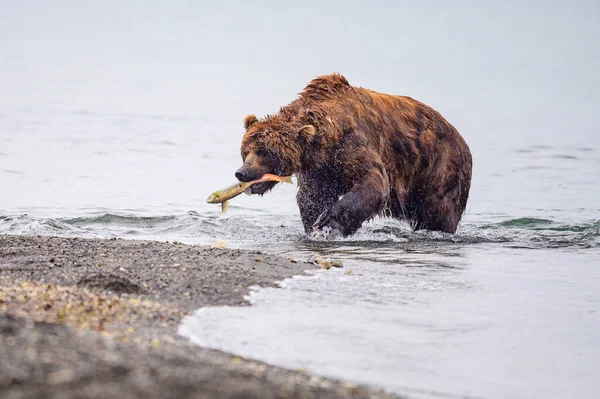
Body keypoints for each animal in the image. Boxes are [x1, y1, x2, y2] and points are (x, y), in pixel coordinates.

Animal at [237, 74, 472, 238]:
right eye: (245, 151)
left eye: (264, 151)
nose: (242, 173)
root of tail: (462, 140)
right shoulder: (318, 168)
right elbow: (312, 197)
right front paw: (315, 226)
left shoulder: (352, 143)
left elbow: (373, 181)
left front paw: (328, 222)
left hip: (439, 169)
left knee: (439, 213)